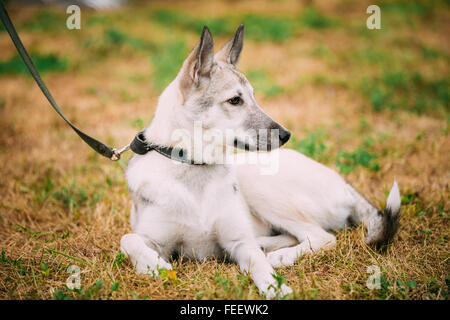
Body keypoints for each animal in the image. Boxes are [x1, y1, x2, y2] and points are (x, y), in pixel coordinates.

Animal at [120, 25, 400, 300]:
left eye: (253, 97)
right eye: (235, 100)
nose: (286, 135)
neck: (193, 167)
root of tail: (343, 183)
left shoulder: (239, 242)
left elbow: (259, 264)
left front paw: (275, 288)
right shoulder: (155, 240)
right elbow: (128, 240)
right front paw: (154, 266)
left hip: (259, 185)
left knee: (323, 237)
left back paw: (280, 255)